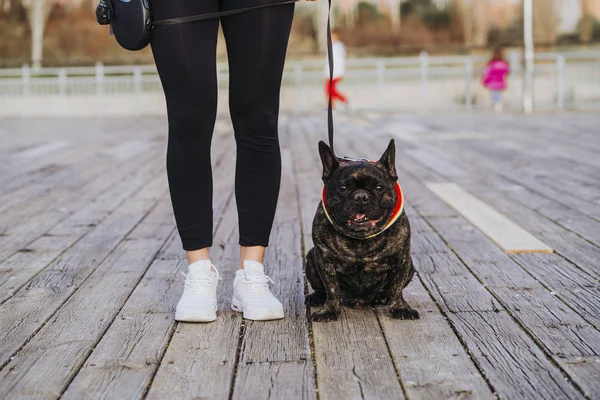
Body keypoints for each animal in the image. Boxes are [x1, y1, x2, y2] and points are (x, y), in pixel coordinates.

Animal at [304, 140, 418, 322]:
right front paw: (329, 310)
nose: (361, 196)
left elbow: (397, 287)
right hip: (311, 257)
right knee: (322, 289)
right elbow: (331, 289)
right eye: (342, 188)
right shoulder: (325, 260)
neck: (360, 238)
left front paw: (401, 308)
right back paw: (317, 297)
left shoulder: (402, 259)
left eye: (379, 187)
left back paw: (382, 296)